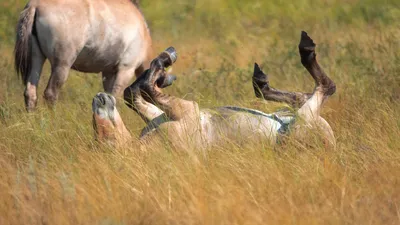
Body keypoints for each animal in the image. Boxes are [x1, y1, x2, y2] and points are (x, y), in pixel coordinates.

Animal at [14, 0, 151, 111]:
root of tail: (35, 5)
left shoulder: (109, 72)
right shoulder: (125, 70)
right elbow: (115, 98)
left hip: (36, 59)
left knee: (30, 93)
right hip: (62, 65)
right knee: (50, 94)